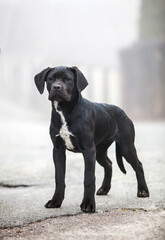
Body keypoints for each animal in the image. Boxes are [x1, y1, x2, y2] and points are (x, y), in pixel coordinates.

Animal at [34, 66, 150, 213]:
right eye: (51, 79)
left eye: (68, 79)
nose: (57, 87)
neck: (64, 110)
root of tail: (122, 111)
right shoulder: (58, 150)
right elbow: (59, 178)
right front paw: (55, 201)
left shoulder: (88, 150)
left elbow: (88, 179)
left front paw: (88, 204)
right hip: (100, 150)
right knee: (109, 164)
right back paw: (104, 189)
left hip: (126, 146)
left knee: (138, 165)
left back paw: (143, 191)